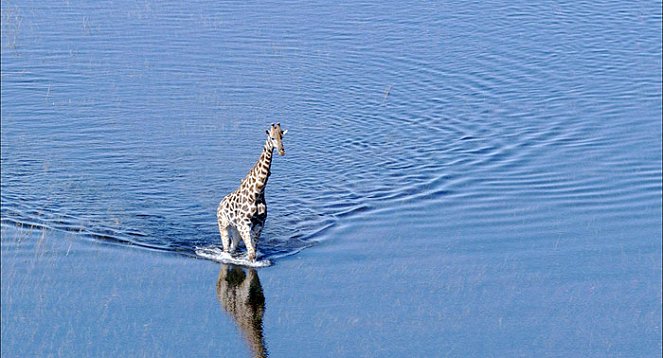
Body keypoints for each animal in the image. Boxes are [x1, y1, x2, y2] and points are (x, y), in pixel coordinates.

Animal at [218, 122, 288, 260]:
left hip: (236, 228)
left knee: (233, 247)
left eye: (282, 137)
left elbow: (253, 252)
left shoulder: (259, 224)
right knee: (226, 247)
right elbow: (251, 254)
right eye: (272, 138)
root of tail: (220, 203)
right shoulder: (244, 224)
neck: (257, 192)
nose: (282, 151)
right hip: (223, 225)